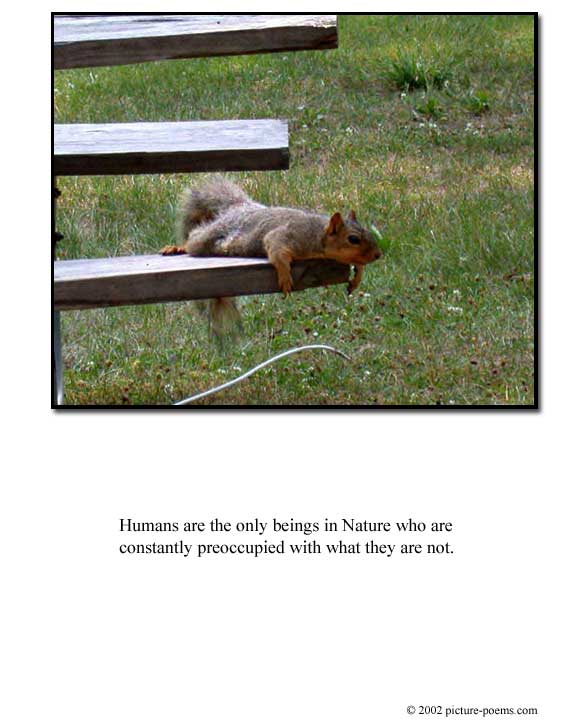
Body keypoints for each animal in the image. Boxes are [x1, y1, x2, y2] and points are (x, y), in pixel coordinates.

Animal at [160, 177, 382, 336]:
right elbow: (277, 251)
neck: (317, 233)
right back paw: (179, 247)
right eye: (353, 239)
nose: (378, 255)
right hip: (212, 237)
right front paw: (284, 277)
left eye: (368, 233)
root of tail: (239, 207)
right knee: (195, 238)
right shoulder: (290, 236)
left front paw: (358, 274)